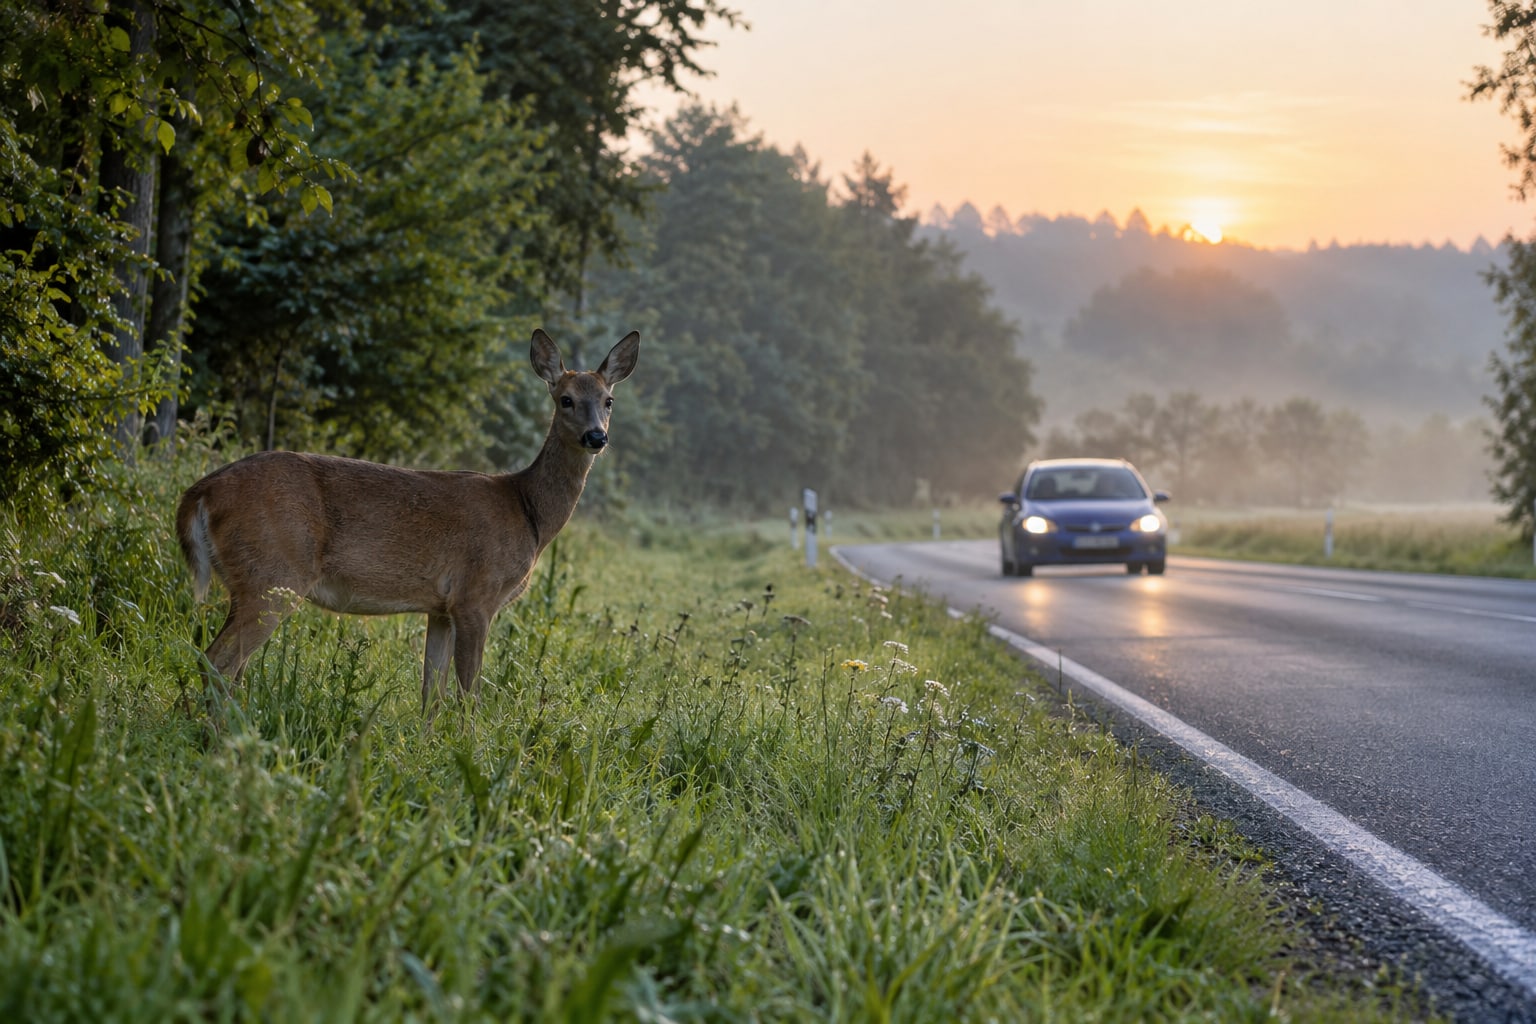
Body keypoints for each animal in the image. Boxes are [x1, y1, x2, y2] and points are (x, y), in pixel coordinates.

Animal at [175, 328, 638, 716]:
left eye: (609, 400)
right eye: (565, 399)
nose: (596, 437)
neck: (528, 512)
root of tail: (200, 492)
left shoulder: (441, 607)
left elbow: (431, 694)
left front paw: (429, 750)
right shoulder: (476, 595)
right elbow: (468, 694)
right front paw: (471, 748)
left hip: (248, 581)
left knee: (223, 663)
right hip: (274, 573)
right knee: (218, 660)